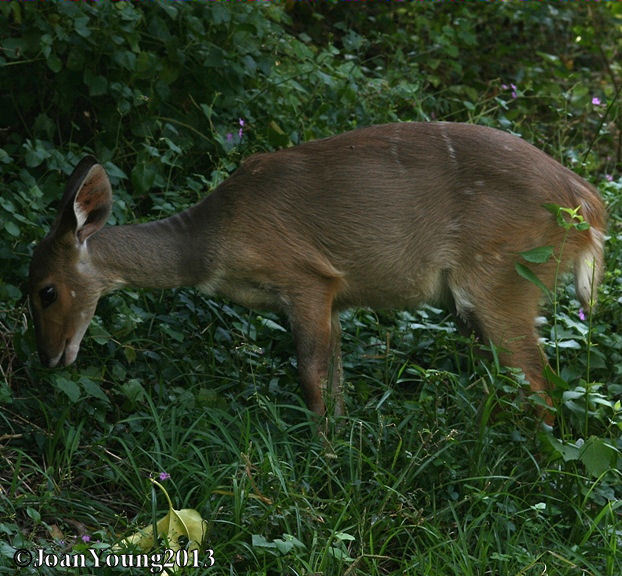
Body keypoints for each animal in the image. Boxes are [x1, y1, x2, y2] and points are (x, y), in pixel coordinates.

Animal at [28, 122, 604, 418]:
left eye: (45, 291)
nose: (49, 358)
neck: (213, 241)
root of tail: (587, 208)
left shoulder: (306, 279)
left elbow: (310, 376)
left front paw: (322, 462)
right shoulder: (337, 300)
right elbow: (339, 380)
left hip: (502, 278)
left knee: (540, 383)